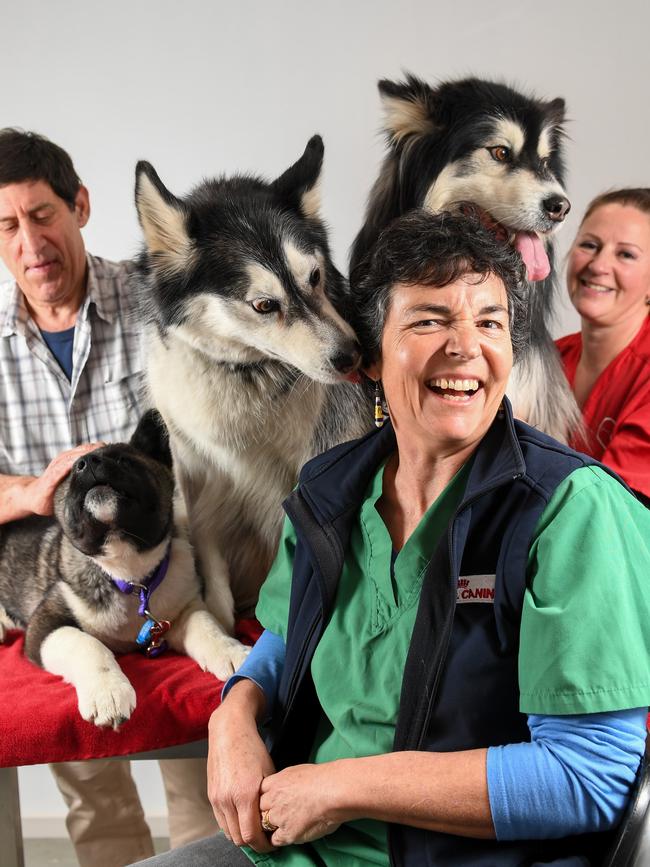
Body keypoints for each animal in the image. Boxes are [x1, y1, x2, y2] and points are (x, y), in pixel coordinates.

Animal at [0, 410, 242, 728]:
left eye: (126, 461)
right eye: (71, 473)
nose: (88, 462)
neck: (127, 573)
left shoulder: (180, 611)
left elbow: (205, 625)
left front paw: (231, 650)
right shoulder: (44, 626)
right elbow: (87, 643)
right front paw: (108, 692)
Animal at [134, 136, 368, 680]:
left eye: (315, 277)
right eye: (264, 304)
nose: (354, 356)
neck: (243, 376)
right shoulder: (202, 495)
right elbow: (215, 590)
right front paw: (225, 639)